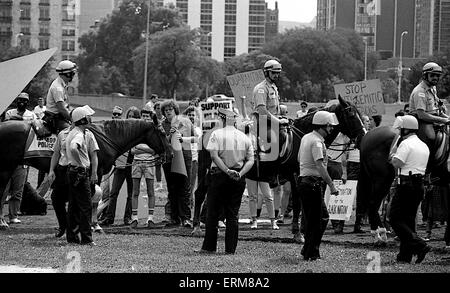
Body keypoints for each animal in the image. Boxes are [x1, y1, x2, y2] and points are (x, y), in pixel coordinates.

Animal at [0, 118, 172, 212]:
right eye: (163, 133)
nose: (170, 154)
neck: (107, 137)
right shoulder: (97, 172)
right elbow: (94, 197)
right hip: (6, 168)